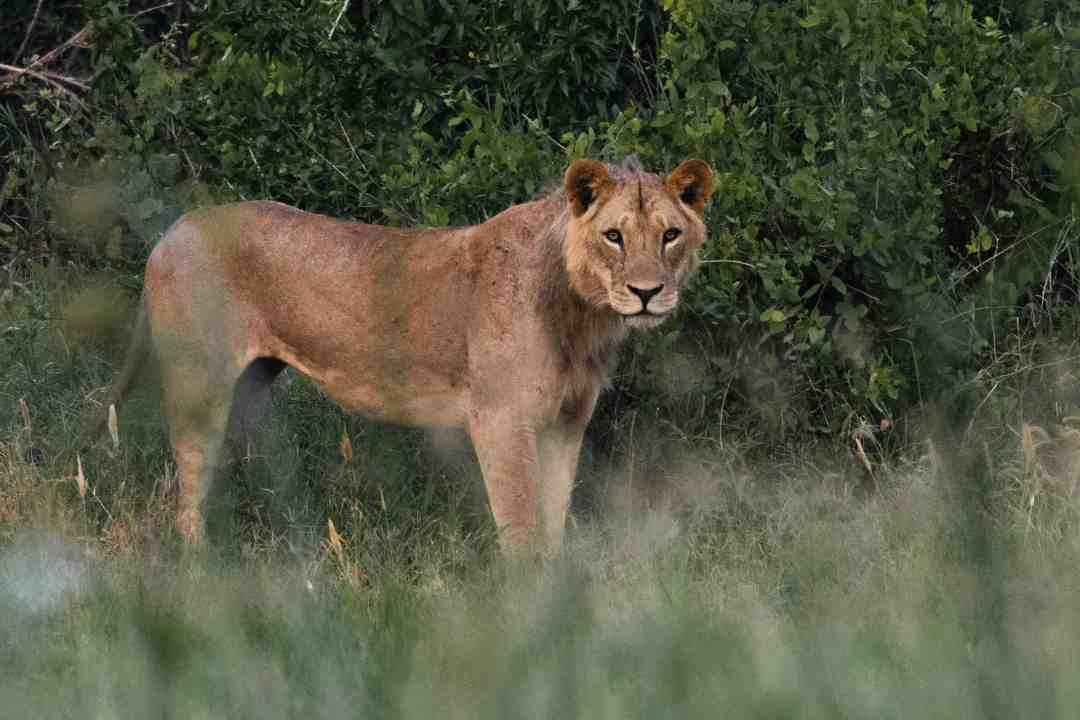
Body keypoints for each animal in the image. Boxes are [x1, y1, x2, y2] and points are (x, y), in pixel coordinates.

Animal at [98, 157, 714, 551]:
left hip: (247, 384)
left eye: (670, 236)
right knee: (187, 486)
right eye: (614, 236)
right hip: (199, 382)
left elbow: (555, 518)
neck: (583, 315)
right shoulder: (499, 419)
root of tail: (171, 231)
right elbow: (521, 526)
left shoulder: (567, 423)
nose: (646, 292)